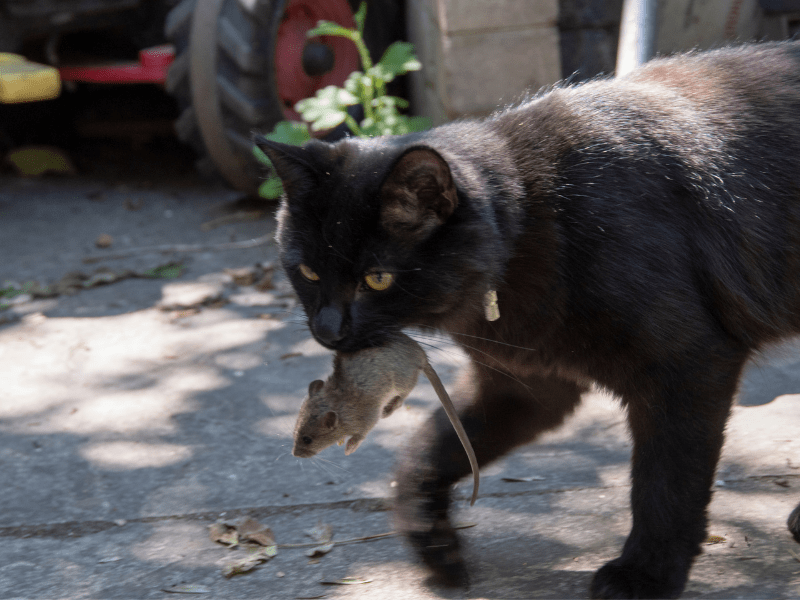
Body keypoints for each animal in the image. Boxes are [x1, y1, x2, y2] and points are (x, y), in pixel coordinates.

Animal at [256, 39, 800, 596]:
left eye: (377, 278)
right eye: (307, 271)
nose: (327, 331)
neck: (539, 219)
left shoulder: (687, 369)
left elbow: (667, 484)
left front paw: (645, 573)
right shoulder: (525, 385)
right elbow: (429, 450)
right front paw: (432, 541)